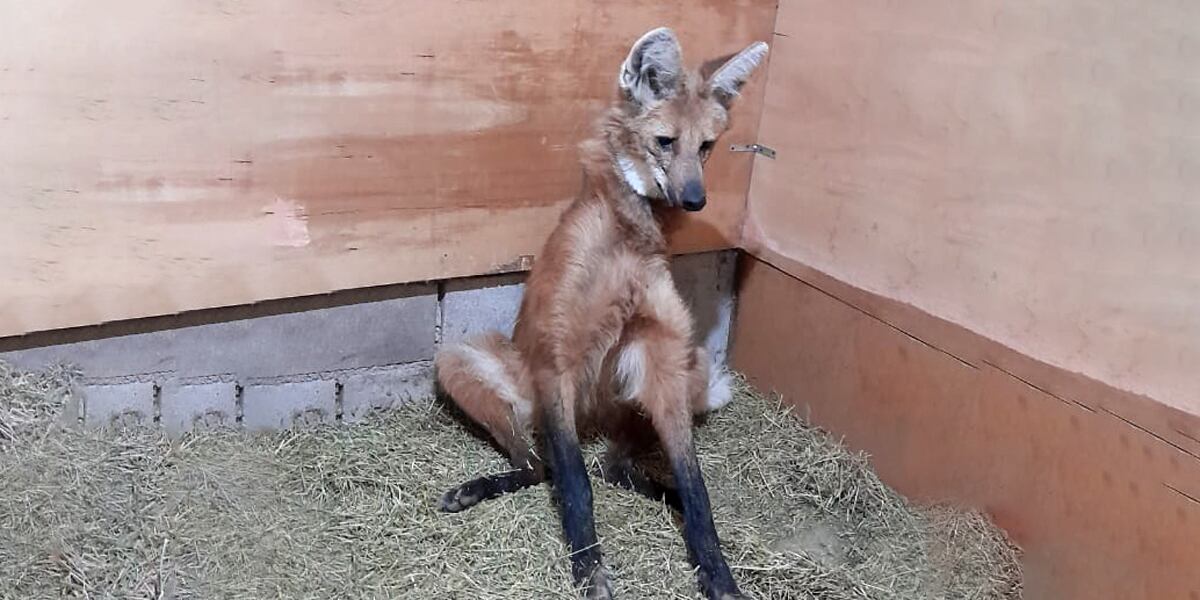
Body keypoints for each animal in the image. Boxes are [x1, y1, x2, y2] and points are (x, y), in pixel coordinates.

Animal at [434, 27, 768, 600]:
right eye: (665, 142)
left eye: (705, 147)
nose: (695, 199)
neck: (630, 236)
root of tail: (593, 418)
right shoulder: (556, 363)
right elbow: (575, 483)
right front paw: (590, 569)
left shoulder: (664, 357)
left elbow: (696, 487)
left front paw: (716, 571)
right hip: (463, 362)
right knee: (538, 466)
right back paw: (477, 488)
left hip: (692, 368)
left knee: (613, 466)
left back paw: (658, 492)